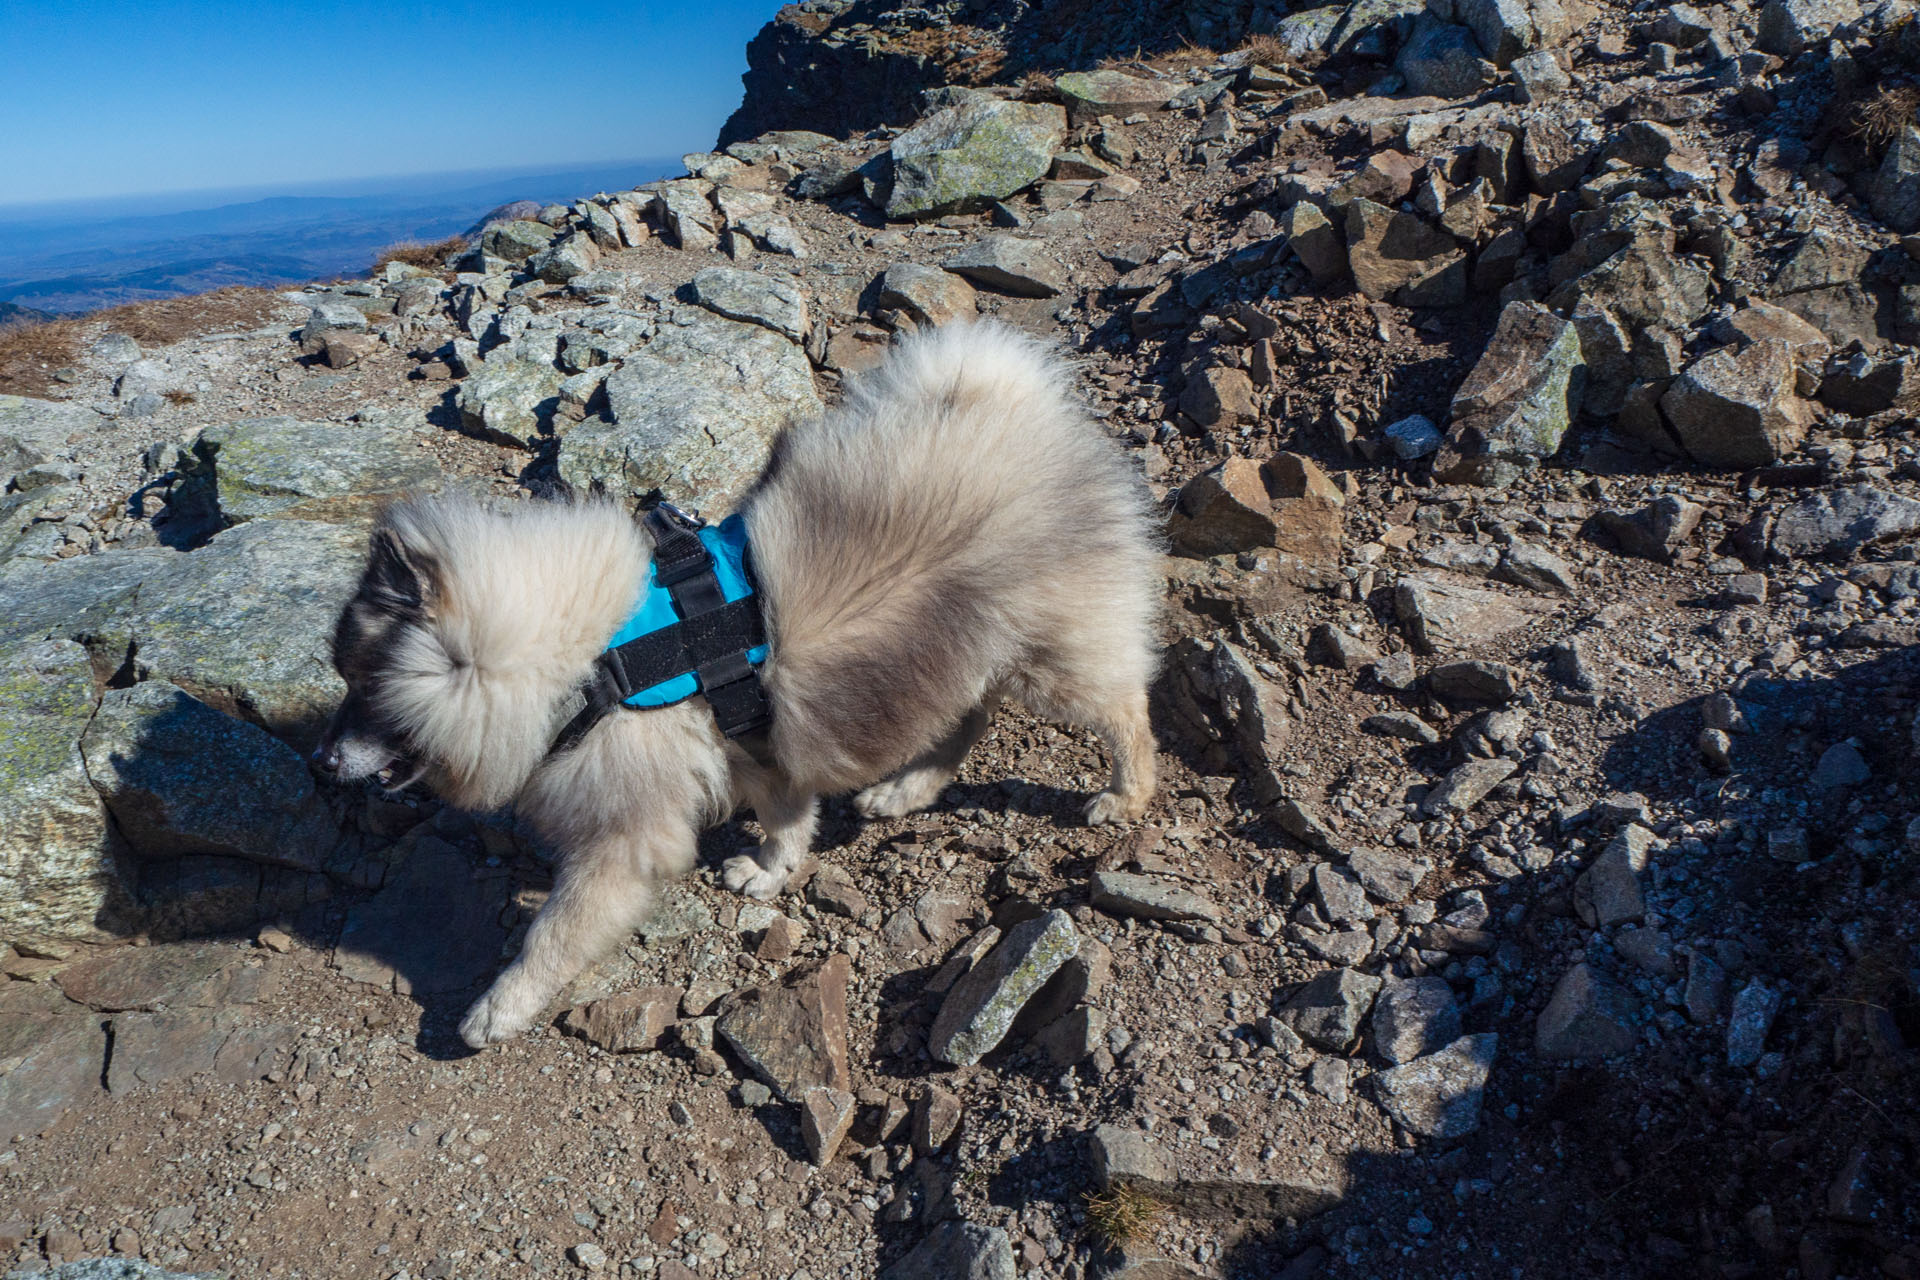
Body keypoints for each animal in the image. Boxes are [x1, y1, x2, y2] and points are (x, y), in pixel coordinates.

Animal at [316, 320, 1159, 1051]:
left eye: (365, 687)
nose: (321, 764)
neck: (589, 661)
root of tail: (1015, 403)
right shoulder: (755, 745)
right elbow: (788, 818)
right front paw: (771, 870)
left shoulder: (627, 838)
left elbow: (552, 931)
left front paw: (500, 1005)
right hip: (956, 649)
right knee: (965, 722)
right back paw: (903, 792)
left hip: (1048, 657)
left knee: (1125, 711)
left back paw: (1123, 796)